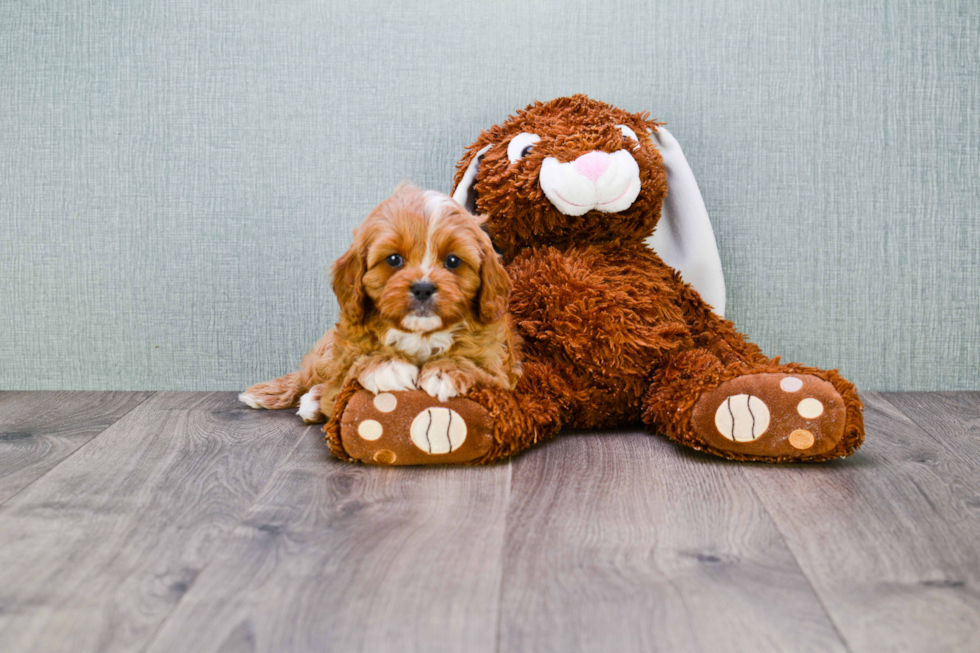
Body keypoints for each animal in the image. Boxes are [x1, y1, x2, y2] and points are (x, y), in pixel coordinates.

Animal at [238, 186, 520, 426]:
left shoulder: (501, 371)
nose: (423, 287)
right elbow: (348, 372)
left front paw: (445, 371)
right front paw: (387, 365)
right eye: (393, 259)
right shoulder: (344, 358)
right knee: (308, 377)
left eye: (453, 261)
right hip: (324, 354)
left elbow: (477, 364)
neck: (420, 333)